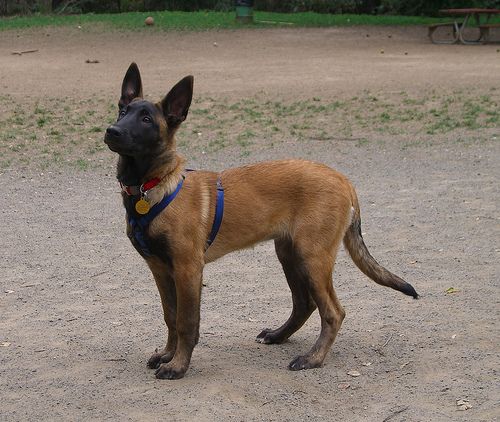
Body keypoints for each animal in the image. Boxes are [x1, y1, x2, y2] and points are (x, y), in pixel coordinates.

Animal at [104, 61, 418, 380]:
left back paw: (313, 358)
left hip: (312, 257)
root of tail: (342, 178)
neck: (152, 186)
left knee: (333, 312)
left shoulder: (188, 269)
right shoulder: (160, 269)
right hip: (289, 253)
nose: (111, 131)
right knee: (304, 304)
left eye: (146, 119)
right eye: (122, 110)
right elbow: (170, 316)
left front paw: (178, 365)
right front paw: (167, 354)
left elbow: (186, 322)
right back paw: (279, 336)